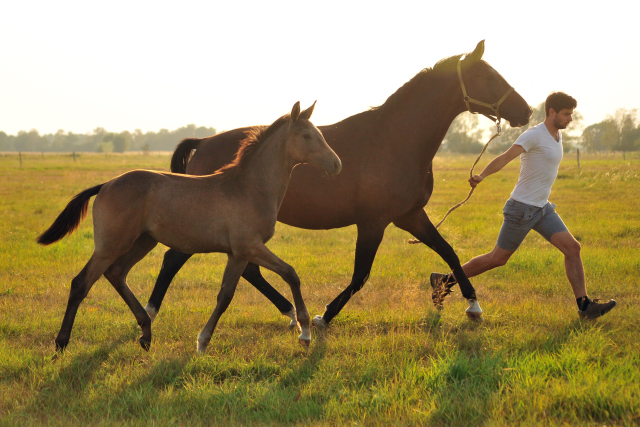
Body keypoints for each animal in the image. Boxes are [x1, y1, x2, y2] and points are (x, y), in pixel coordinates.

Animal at [38, 102, 342, 352]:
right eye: (307, 136)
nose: (337, 164)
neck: (249, 187)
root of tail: (106, 185)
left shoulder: (237, 253)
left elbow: (225, 295)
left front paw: (203, 341)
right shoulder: (250, 247)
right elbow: (290, 274)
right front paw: (304, 332)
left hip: (143, 241)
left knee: (116, 273)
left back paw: (146, 334)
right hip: (112, 244)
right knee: (81, 283)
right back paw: (61, 343)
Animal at [144, 40, 528, 328]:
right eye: (488, 77)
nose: (525, 111)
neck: (394, 140)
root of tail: (204, 142)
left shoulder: (410, 216)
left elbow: (449, 252)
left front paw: (472, 305)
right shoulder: (373, 222)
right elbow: (360, 275)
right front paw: (323, 316)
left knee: (246, 267)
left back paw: (287, 311)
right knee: (174, 259)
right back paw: (149, 314)